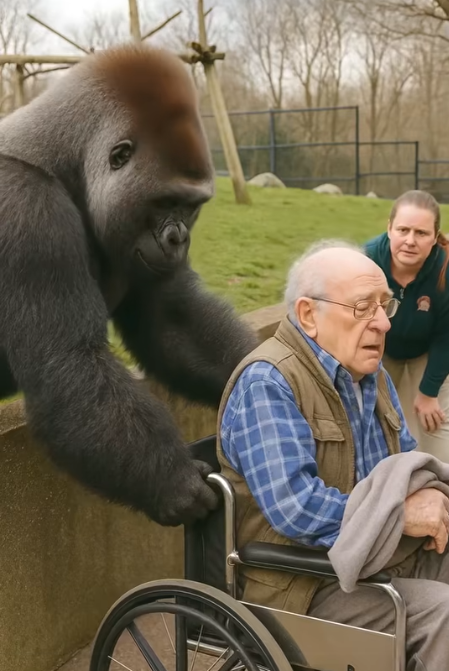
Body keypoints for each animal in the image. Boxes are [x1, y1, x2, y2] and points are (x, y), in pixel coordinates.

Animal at [0, 44, 258, 527]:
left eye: (191, 206)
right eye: (166, 202)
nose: (179, 239)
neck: (62, 160)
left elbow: (172, 322)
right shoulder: (23, 209)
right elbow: (67, 361)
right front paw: (171, 480)